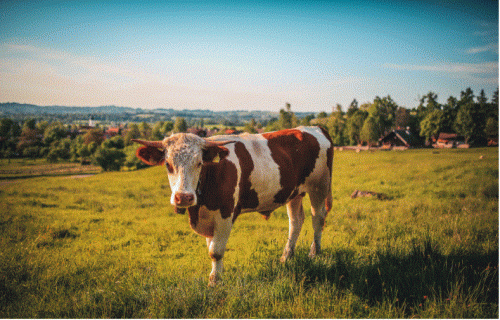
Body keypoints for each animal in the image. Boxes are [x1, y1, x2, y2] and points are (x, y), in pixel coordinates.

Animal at [133, 126, 334, 286]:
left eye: (199, 163)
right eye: (168, 164)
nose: (183, 197)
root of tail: (314, 128)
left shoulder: (225, 214)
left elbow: (216, 251)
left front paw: (215, 282)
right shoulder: (208, 219)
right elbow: (211, 247)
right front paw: (216, 275)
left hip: (319, 186)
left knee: (318, 218)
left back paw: (314, 253)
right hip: (294, 192)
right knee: (296, 221)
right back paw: (286, 256)